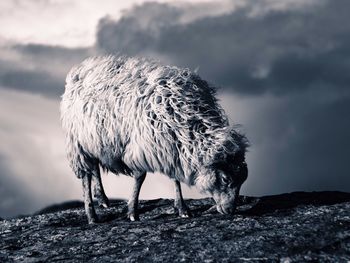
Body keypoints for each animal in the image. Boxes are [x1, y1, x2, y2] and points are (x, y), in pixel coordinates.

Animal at [61, 54, 250, 224]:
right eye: (225, 179)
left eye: (242, 180)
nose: (230, 211)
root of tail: (82, 67)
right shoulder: (143, 145)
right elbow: (140, 177)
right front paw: (133, 212)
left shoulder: (172, 147)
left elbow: (175, 178)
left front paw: (182, 208)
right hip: (78, 143)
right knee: (86, 176)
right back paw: (91, 215)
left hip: (94, 140)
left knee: (94, 169)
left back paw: (103, 199)